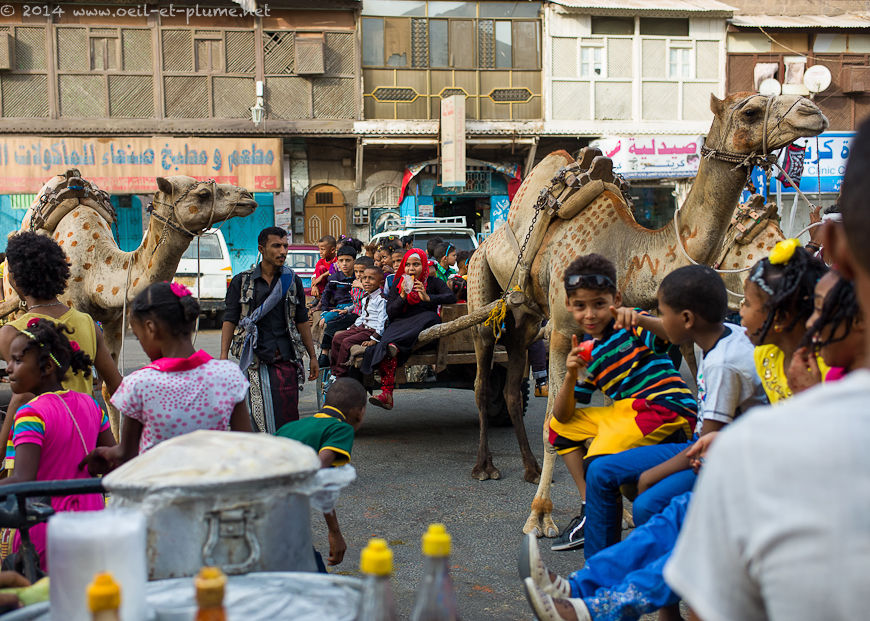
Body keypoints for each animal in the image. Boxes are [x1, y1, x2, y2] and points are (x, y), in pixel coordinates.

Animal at [0, 170, 255, 432]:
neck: (95, 266)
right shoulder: (70, 311)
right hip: (16, 308)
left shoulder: (115, 320)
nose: (248, 196)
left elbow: (110, 386)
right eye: (203, 194)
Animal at [466, 92, 828, 536]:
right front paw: (540, 515)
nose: (812, 111)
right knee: (483, 377)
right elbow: (555, 415)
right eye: (750, 110)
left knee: (513, 382)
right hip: (482, 291)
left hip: (527, 318)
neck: (626, 255)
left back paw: (530, 468)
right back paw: (485, 468)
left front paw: (618, 512)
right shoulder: (563, 328)